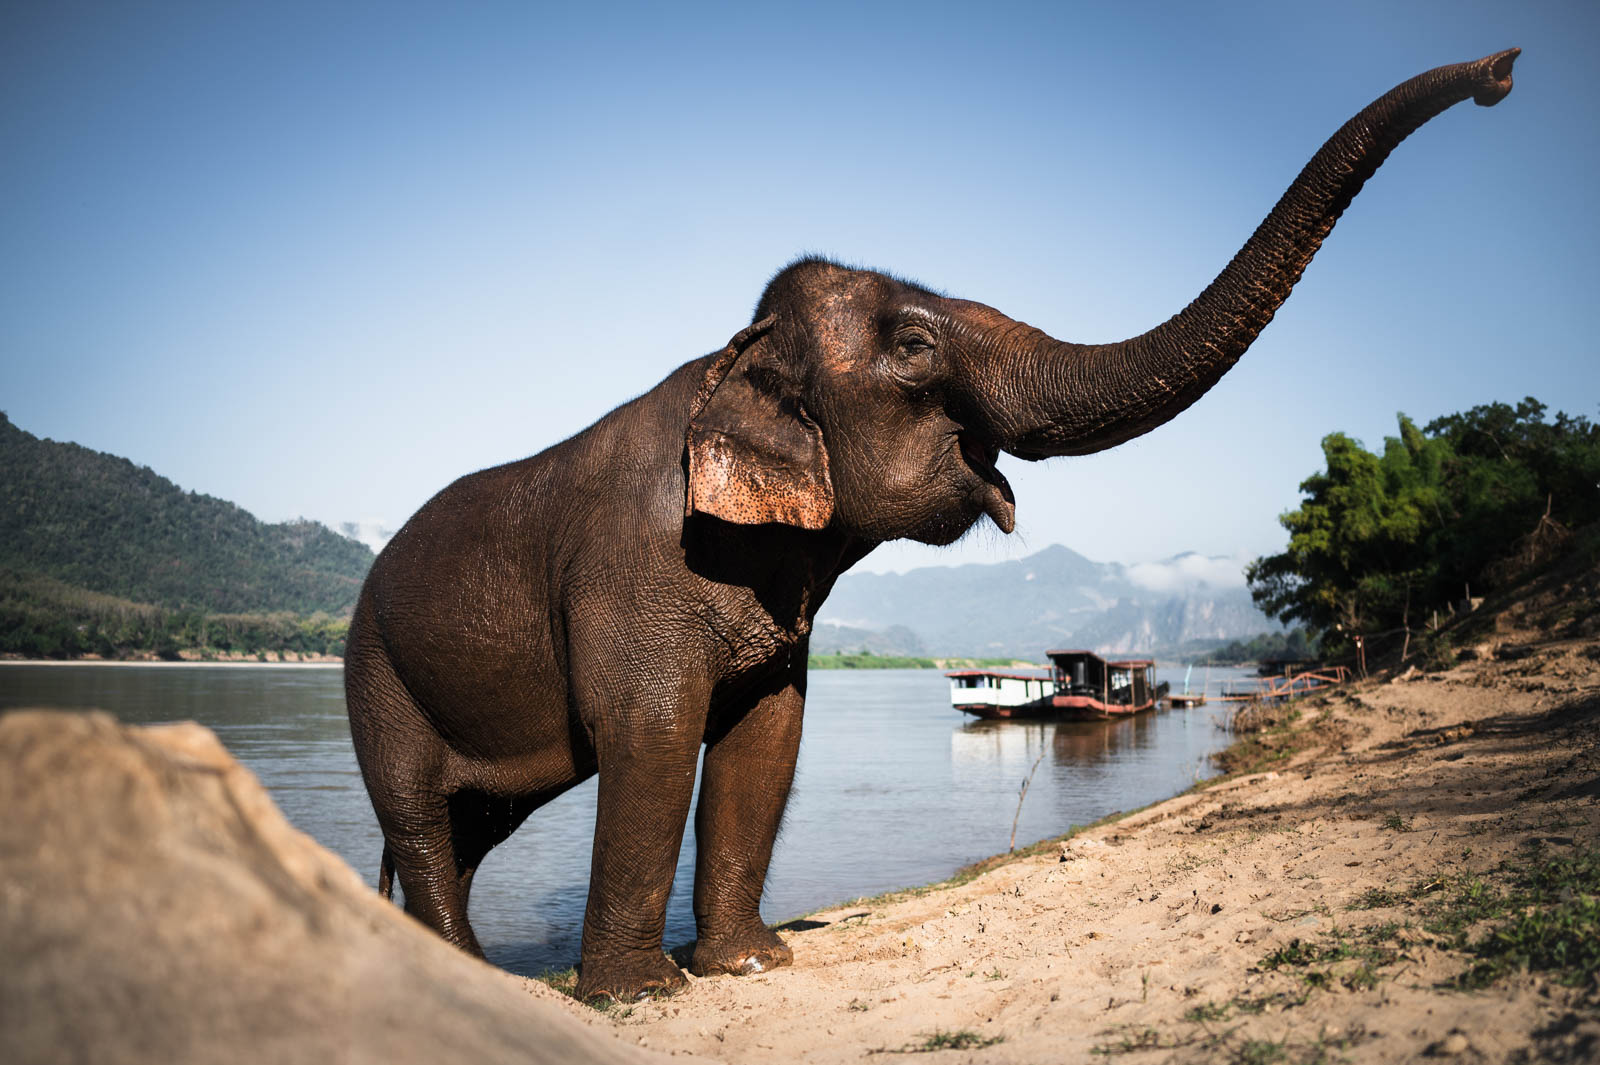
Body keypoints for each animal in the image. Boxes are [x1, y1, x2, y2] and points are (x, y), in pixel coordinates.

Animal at [344, 49, 1518, 1000]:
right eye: (913, 347)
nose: (1502, 75)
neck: (731, 353)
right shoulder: (634, 571)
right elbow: (654, 735)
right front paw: (640, 994)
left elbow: (767, 737)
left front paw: (754, 965)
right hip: (377, 674)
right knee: (422, 819)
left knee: (470, 827)